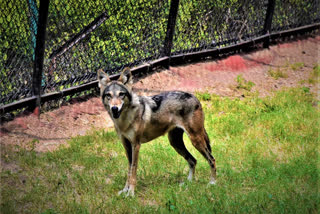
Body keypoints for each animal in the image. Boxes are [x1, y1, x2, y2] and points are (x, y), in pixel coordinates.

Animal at [97, 67, 218, 196]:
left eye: (121, 94)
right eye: (108, 95)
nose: (114, 108)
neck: (124, 120)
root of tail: (194, 97)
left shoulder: (136, 145)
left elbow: (133, 170)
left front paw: (131, 193)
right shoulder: (127, 146)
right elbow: (129, 170)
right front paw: (125, 190)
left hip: (195, 140)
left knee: (211, 159)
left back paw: (212, 183)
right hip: (176, 143)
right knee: (193, 161)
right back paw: (188, 183)